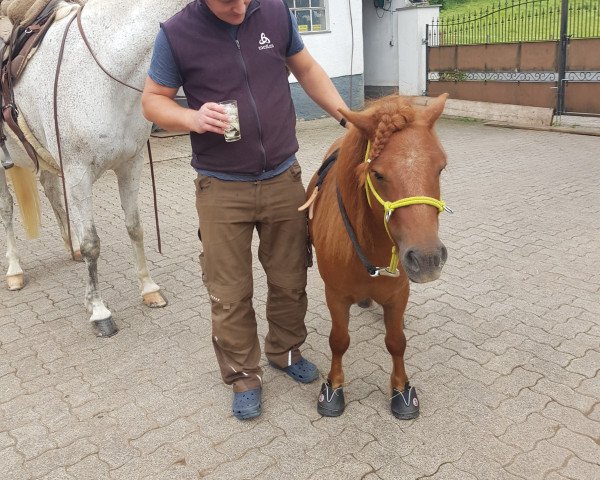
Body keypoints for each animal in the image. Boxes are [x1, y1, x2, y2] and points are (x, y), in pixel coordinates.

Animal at [0, 0, 190, 336]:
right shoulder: (78, 174)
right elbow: (92, 243)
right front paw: (99, 311)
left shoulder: (130, 164)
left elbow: (135, 227)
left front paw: (149, 289)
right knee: (8, 209)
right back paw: (14, 270)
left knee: (51, 191)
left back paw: (70, 246)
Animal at [304, 94, 450, 420]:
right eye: (378, 174)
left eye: (440, 168)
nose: (428, 259)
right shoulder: (335, 295)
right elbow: (339, 340)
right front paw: (334, 386)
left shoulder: (398, 295)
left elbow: (396, 342)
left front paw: (401, 389)